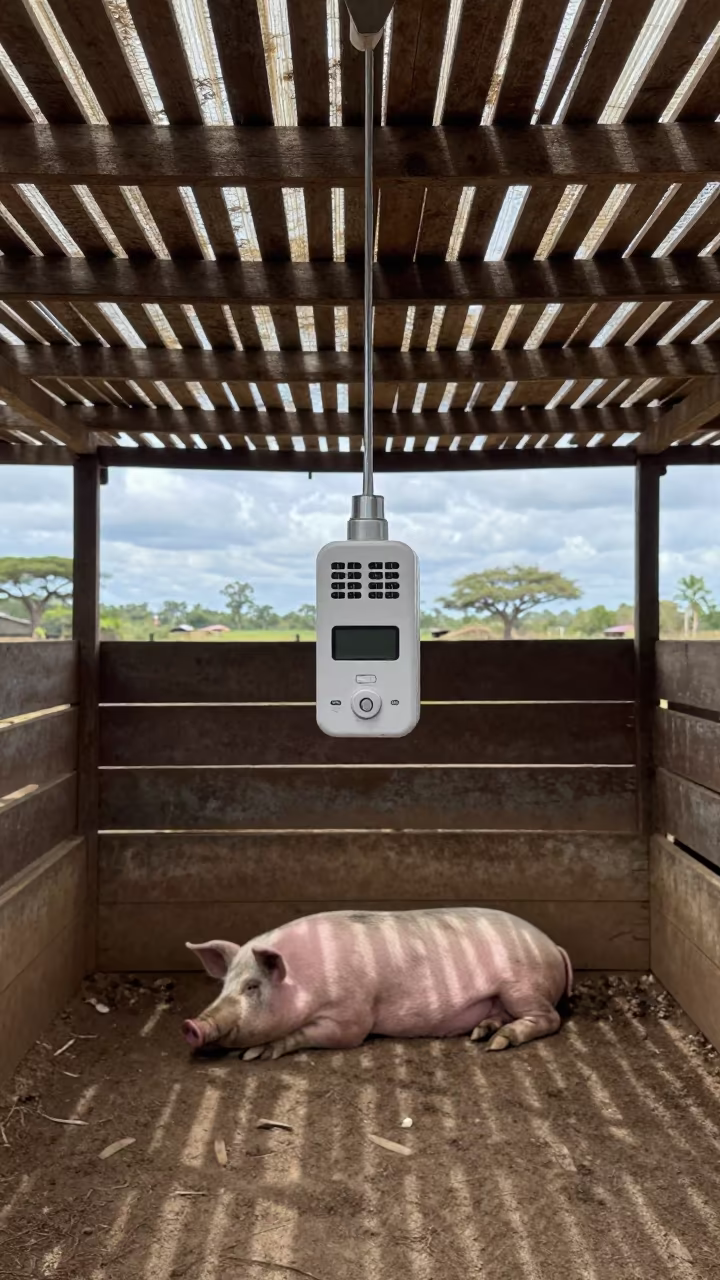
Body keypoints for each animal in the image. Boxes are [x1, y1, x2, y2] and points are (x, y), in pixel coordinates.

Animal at [182, 907, 572, 1061]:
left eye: (252, 986)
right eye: (223, 986)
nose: (192, 1025)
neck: (303, 981)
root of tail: (553, 945)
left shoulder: (351, 1018)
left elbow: (315, 1035)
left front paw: (256, 1054)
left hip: (522, 984)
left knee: (550, 1019)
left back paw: (497, 1044)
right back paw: (481, 1033)